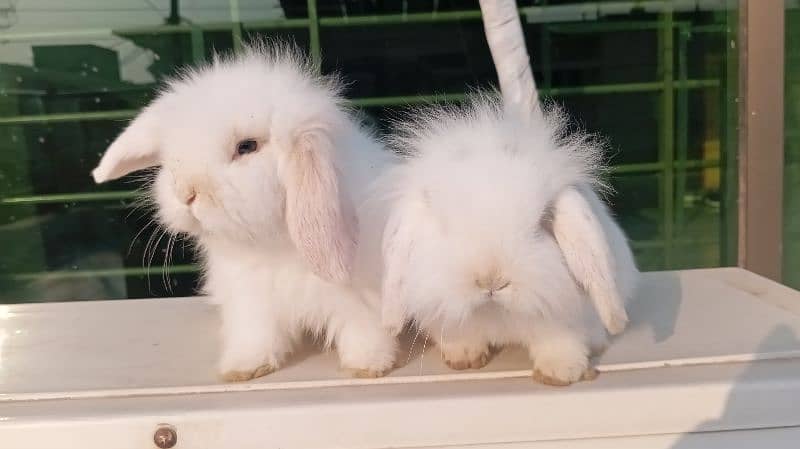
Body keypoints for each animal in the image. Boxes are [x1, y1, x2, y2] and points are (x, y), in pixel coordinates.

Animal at [90, 40, 396, 380]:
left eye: (247, 147)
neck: (274, 244)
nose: (186, 193)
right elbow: (256, 334)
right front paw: (244, 368)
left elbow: (363, 330)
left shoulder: (364, 299)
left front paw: (369, 365)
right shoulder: (249, 298)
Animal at [376, 95, 636, 384]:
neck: (497, 313)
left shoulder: (565, 320)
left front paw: (560, 373)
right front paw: (464, 359)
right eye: (444, 226)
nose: (491, 281)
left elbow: (561, 342)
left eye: (541, 222)